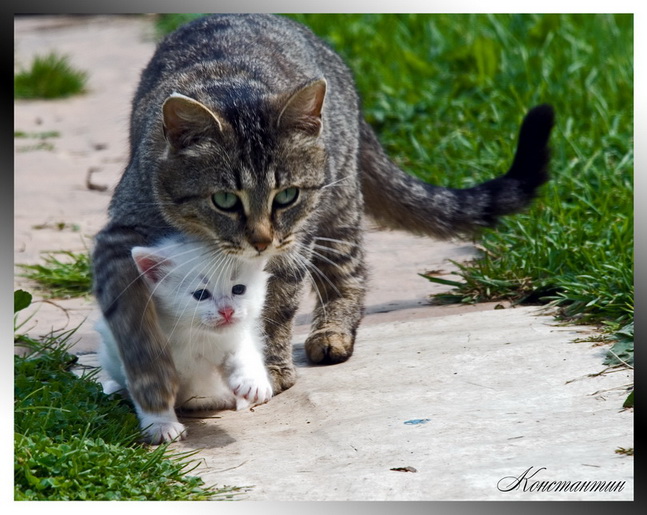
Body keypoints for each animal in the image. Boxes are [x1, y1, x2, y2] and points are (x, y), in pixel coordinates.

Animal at [95, 237, 272, 444]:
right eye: (201, 294)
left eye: (239, 289)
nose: (227, 311)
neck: (195, 334)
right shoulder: (143, 341)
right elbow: (151, 385)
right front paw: (161, 425)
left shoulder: (234, 334)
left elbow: (243, 352)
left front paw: (252, 382)